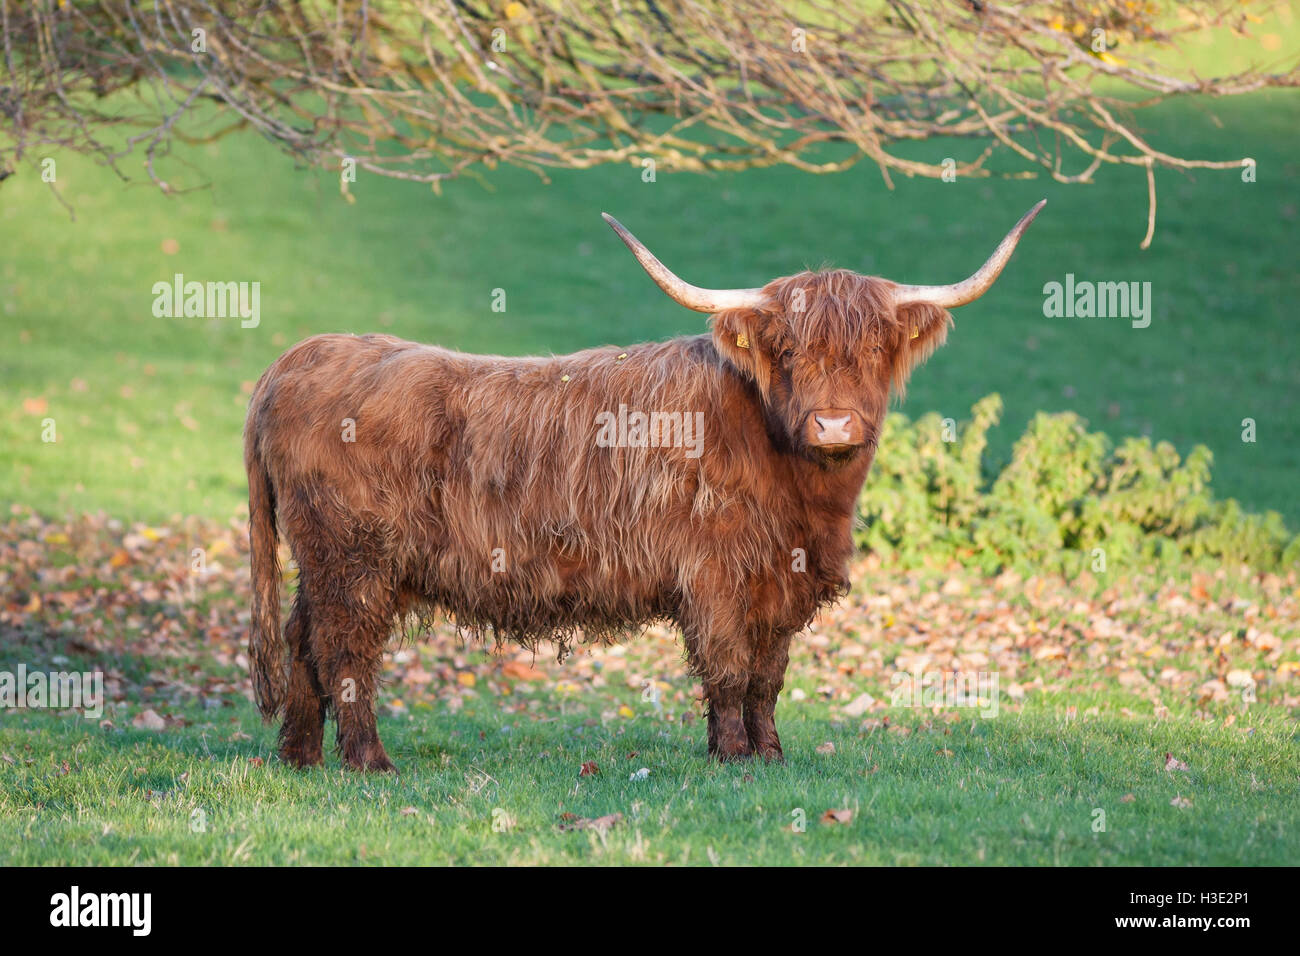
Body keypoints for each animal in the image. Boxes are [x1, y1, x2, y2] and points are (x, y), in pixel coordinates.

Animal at [244, 201, 1045, 770]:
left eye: (875, 350)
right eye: (789, 351)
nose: (834, 425)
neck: (802, 493)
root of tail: (295, 359)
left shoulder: (780, 583)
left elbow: (767, 675)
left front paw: (772, 756)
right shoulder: (715, 574)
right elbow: (729, 669)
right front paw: (733, 759)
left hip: (325, 562)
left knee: (302, 640)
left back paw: (300, 758)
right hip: (354, 560)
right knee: (343, 650)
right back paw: (369, 762)